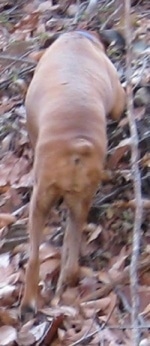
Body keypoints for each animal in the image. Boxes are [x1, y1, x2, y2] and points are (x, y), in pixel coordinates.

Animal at [19, 30, 125, 318]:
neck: (78, 40)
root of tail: (77, 145)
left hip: (43, 200)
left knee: (35, 256)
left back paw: (32, 301)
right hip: (77, 200)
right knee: (69, 249)